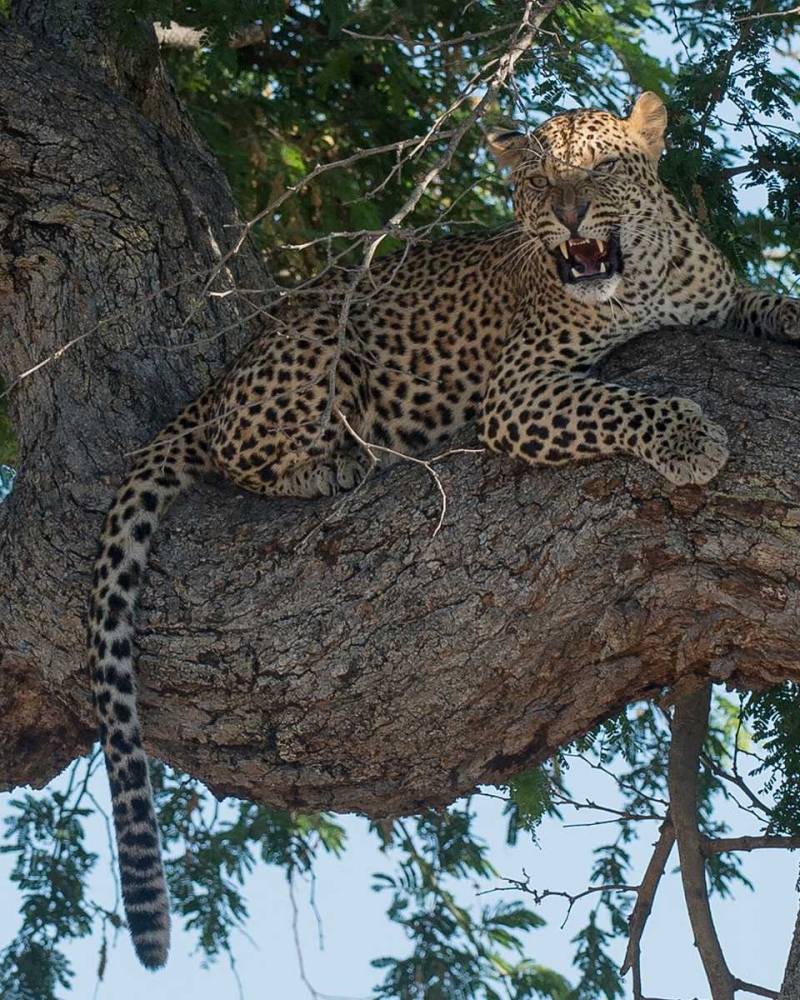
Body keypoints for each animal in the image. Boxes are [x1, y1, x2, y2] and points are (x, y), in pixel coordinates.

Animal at [86, 92, 800, 970]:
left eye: (601, 168)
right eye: (536, 181)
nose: (568, 217)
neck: (643, 280)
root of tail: (226, 370)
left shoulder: (713, 299)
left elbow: (756, 298)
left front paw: (791, 312)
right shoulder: (520, 393)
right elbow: (616, 404)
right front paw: (686, 437)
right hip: (317, 349)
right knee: (233, 450)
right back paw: (340, 463)